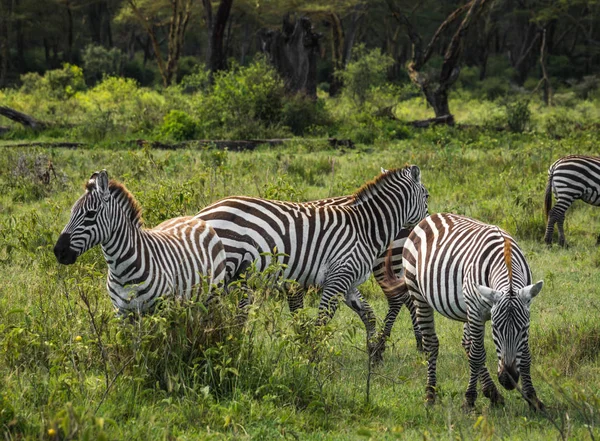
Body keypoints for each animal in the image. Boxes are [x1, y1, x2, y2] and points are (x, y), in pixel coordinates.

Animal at [53, 170, 227, 314]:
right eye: (71, 212)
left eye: (90, 214)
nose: (58, 251)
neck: (119, 270)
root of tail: (196, 219)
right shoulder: (121, 312)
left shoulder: (160, 309)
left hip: (214, 295)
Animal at [195, 165, 428, 354]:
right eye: (427, 195)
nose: (422, 227)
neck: (365, 226)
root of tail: (202, 214)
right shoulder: (339, 275)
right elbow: (321, 320)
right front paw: (311, 358)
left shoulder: (345, 278)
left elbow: (366, 313)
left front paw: (374, 352)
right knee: (401, 298)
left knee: (403, 298)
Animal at [384, 213, 544, 410]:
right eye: (495, 330)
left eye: (523, 330)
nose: (508, 381)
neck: (506, 259)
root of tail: (431, 217)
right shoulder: (476, 312)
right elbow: (477, 355)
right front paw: (469, 399)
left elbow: (526, 356)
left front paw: (533, 398)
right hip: (418, 293)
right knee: (433, 344)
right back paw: (430, 394)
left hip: (466, 309)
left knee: (467, 343)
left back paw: (492, 392)